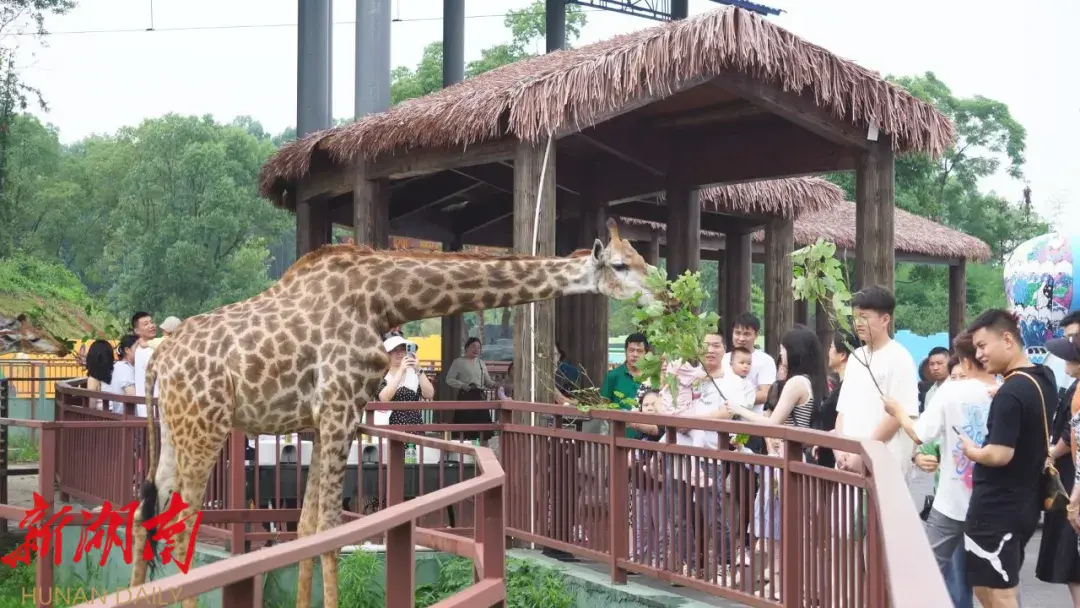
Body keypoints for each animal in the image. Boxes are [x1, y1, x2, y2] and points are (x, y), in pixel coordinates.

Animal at [129, 219, 657, 608]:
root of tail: (158, 361)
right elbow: (331, 529)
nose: (666, 293)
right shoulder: (340, 407)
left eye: (642, 257)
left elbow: (306, 527)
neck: (384, 297)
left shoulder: (321, 419)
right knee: (181, 525)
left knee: (144, 514)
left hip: (175, 431)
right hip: (206, 426)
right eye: (620, 264)